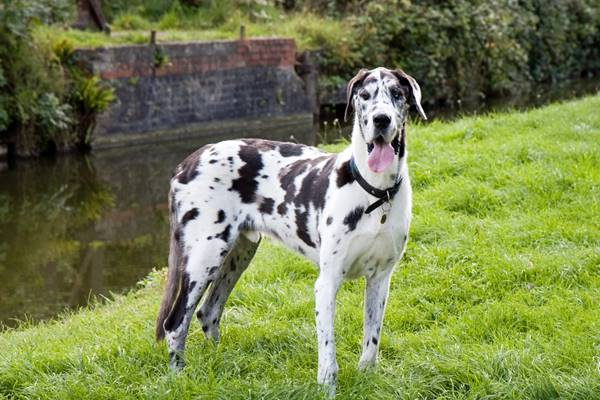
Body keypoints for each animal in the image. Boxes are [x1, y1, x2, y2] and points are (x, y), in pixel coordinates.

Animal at [156, 66, 426, 394]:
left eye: (397, 94)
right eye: (365, 95)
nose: (381, 119)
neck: (375, 192)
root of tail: (187, 161)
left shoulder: (380, 279)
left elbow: (371, 341)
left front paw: (367, 378)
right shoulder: (327, 283)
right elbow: (328, 355)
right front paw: (327, 390)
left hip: (238, 255)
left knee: (208, 313)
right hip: (204, 257)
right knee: (175, 324)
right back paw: (178, 378)